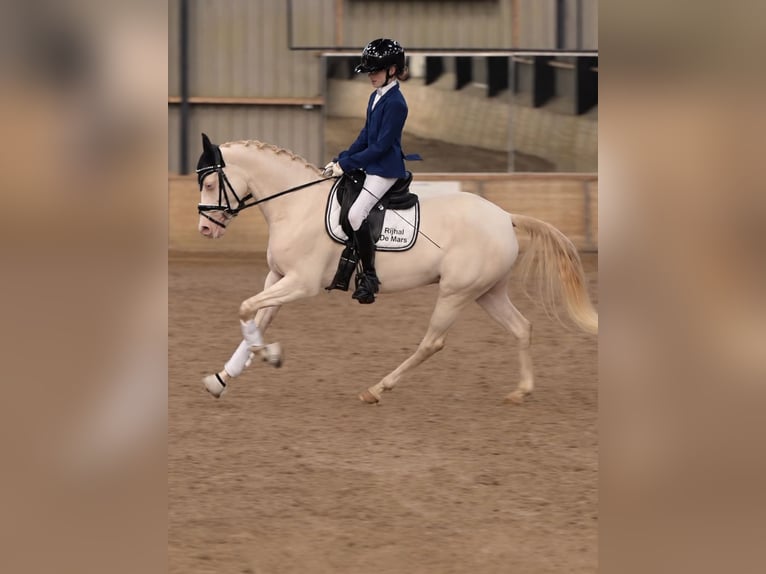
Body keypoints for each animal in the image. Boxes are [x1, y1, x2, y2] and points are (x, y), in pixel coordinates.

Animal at [195, 133, 597, 404]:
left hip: (456, 292)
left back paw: (377, 389)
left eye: (212, 182)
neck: (297, 205)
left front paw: (270, 356)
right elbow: (257, 319)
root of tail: (505, 217)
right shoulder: (278, 277)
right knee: (521, 328)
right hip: (487, 292)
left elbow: (246, 308)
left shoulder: (300, 283)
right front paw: (222, 378)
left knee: (432, 342)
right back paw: (521, 391)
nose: (205, 230)